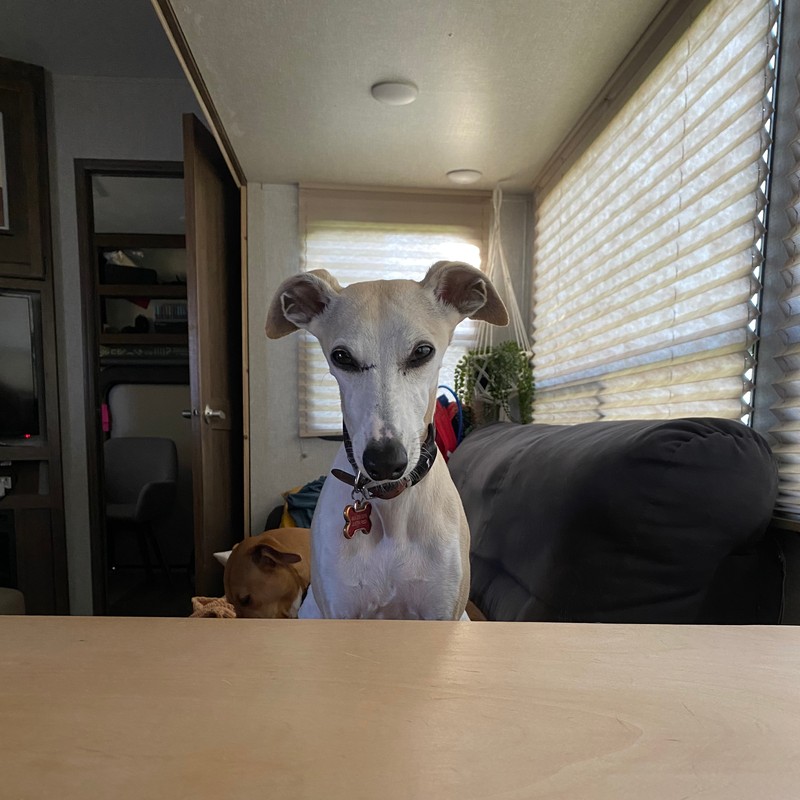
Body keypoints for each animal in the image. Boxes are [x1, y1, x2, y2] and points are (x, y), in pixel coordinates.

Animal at [268, 262, 506, 620]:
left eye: (422, 351)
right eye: (342, 356)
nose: (384, 463)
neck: (392, 506)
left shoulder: (442, 613)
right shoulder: (340, 613)